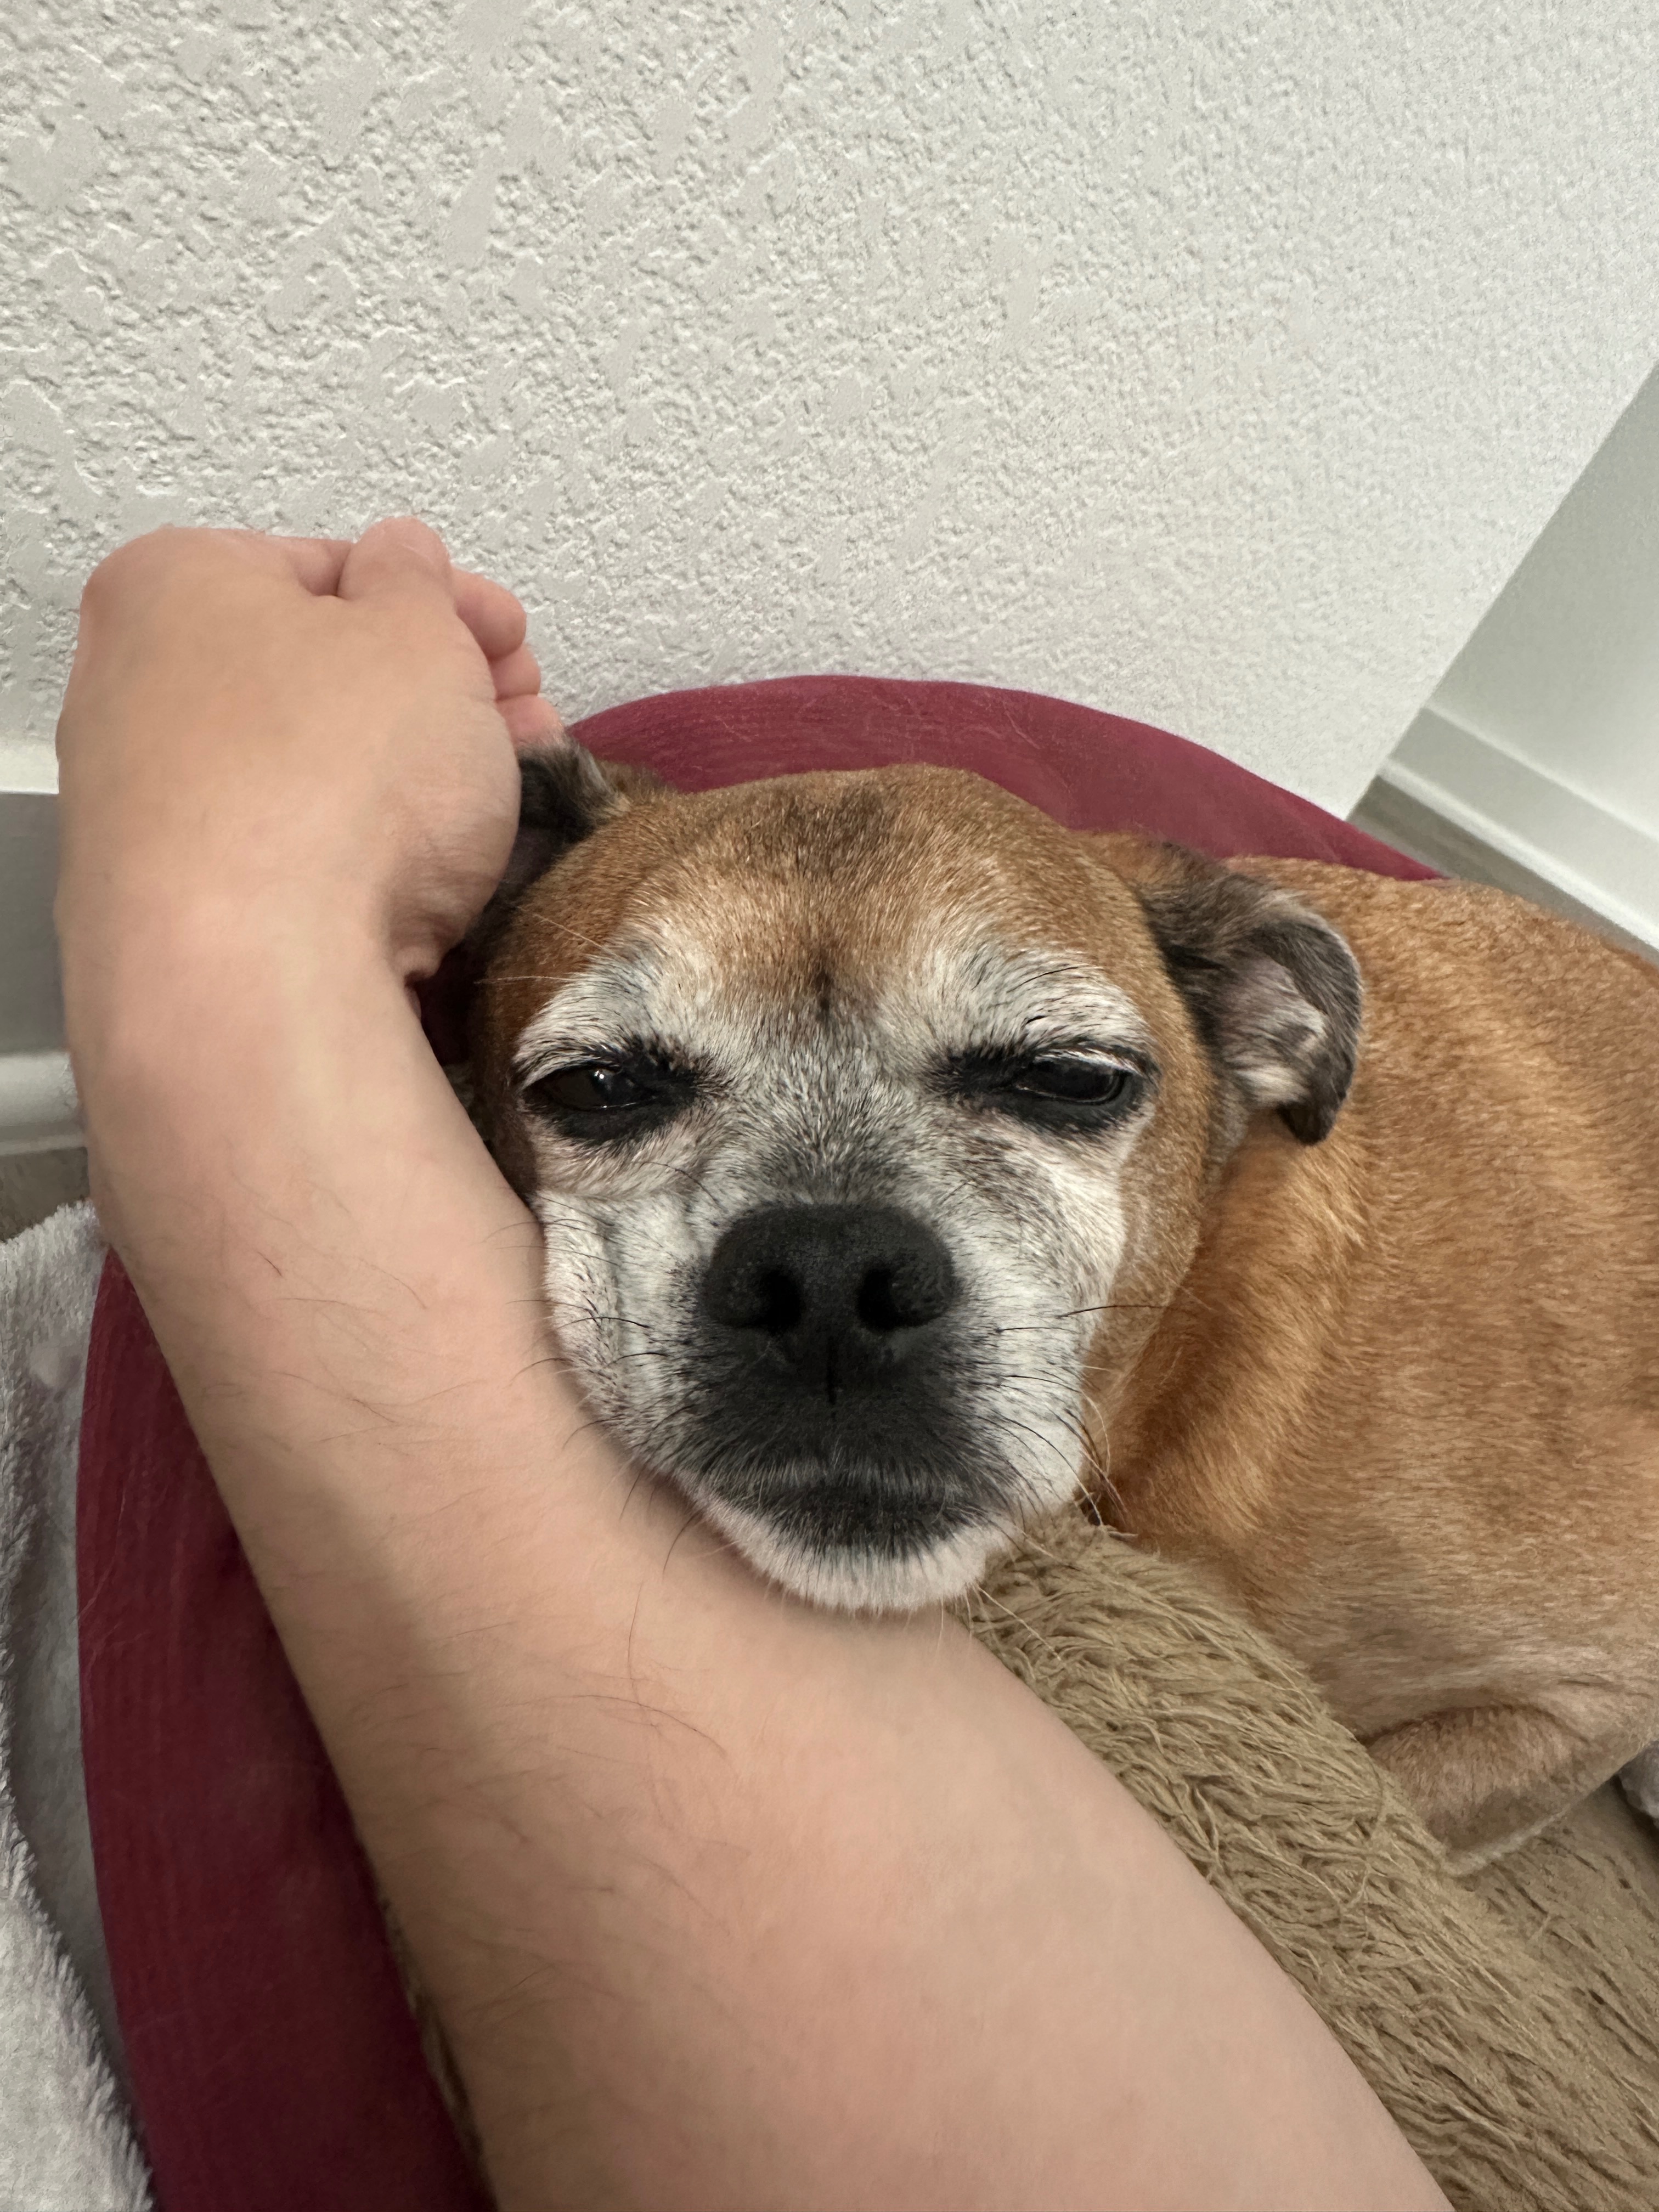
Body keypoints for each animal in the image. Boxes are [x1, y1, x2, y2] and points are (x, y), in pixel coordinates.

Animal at [469, 743, 1659, 1866]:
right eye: (597, 1087)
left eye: (1070, 1077)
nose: (829, 1279)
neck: (1179, 1359)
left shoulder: (1590, 1691)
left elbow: (1383, 1805)